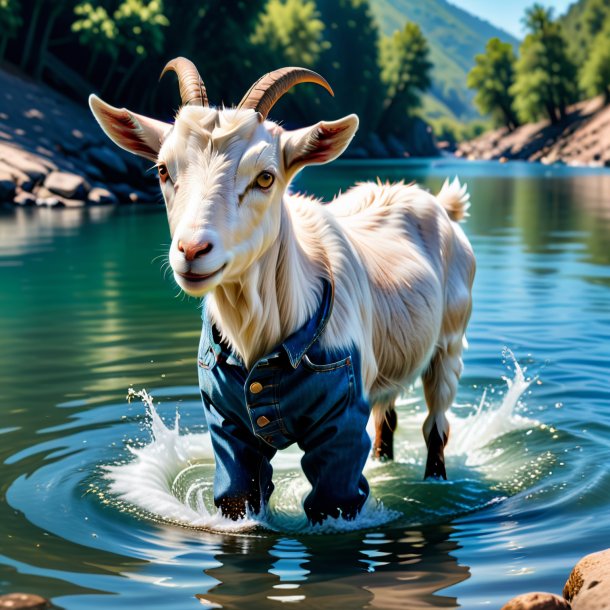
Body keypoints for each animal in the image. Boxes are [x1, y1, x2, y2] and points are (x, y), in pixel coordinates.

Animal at [88, 58, 476, 524]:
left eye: (265, 177)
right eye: (164, 170)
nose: (192, 250)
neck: (266, 334)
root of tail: (439, 205)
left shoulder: (341, 420)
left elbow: (335, 500)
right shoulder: (229, 423)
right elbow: (238, 493)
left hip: (449, 343)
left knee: (436, 424)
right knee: (387, 419)